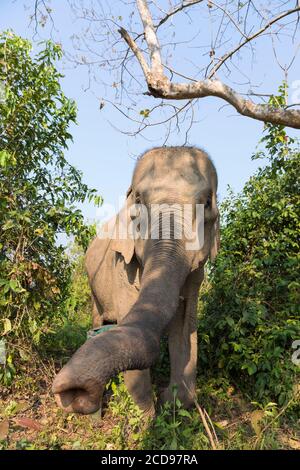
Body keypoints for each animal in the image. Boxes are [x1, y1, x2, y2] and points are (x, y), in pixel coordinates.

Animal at [52, 146, 219, 414]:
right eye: (138, 200)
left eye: (206, 202)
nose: (73, 394)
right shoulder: (122, 265)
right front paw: (146, 416)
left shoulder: (197, 277)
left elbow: (185, 327)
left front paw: (172, 402)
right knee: (98, 315)